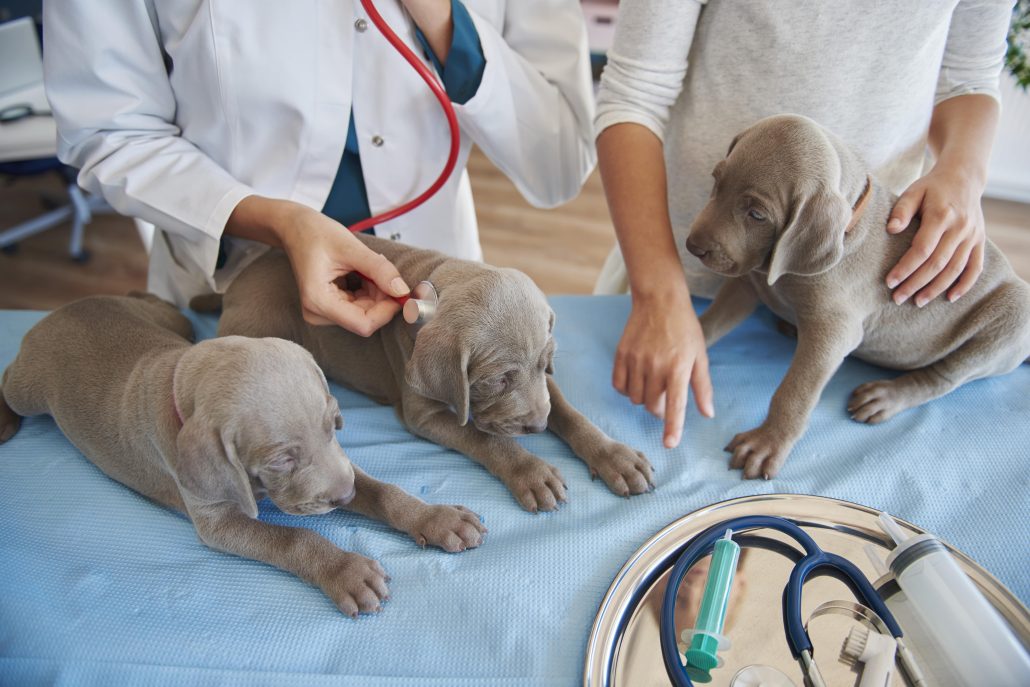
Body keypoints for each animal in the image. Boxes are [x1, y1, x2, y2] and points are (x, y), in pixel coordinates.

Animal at [0, 294, 484, 617]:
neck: (182, 377)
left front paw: (437, 519)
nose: (344, 499)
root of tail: (64, 308)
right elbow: (294, 538)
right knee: (7, 380)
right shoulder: (217, 521)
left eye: (334, 424)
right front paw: (345, 570)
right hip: (29, 388)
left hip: (165, 320)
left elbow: (383, 491)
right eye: (281, 460)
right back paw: (5, 420)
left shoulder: (342, 465)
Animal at [213, 236, 655, 510]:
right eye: (496, 380)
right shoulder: (424, 415)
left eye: (546, 362)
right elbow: (484, 438)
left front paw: (614, 456)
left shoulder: (545, 385)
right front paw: (530, 471)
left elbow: (568, 411)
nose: (536, 427)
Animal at [683, 114, 1030, 477]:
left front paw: (767, 442)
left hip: (1010, 319)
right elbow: (711, 321)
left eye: (757, 214)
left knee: (944, 376)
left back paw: (885, 397)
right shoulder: (747, 283)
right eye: (716, 181)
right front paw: (682, 348)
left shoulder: (833, 332)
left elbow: (795, 391)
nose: (693, 246)